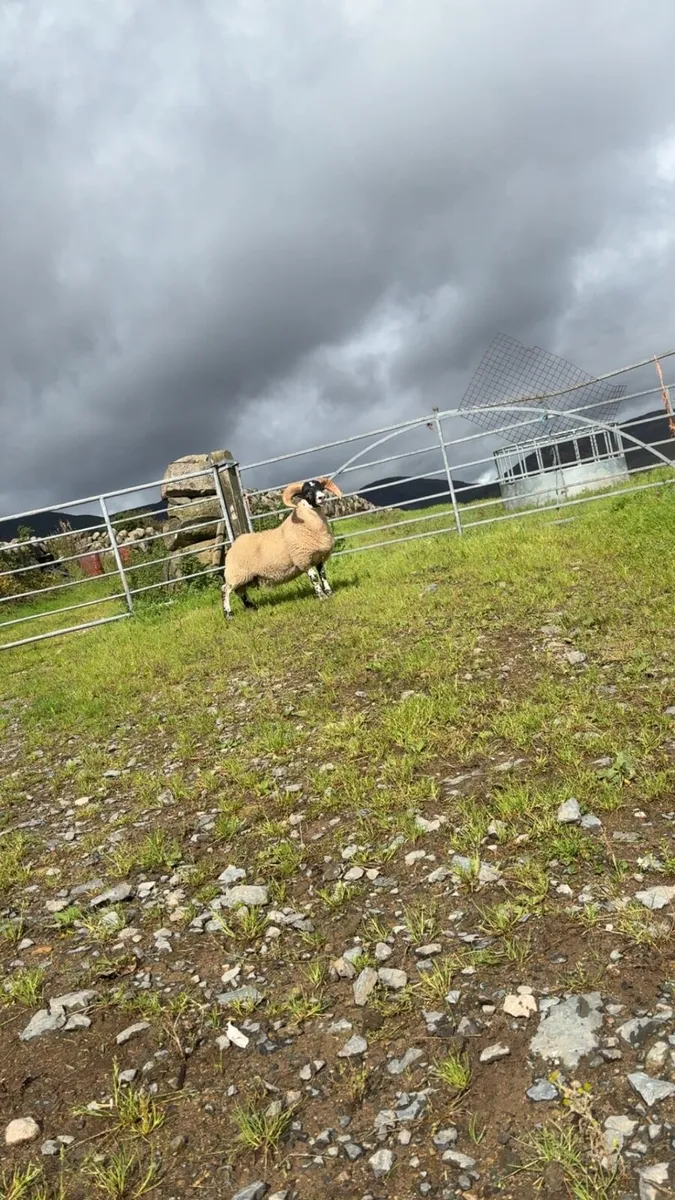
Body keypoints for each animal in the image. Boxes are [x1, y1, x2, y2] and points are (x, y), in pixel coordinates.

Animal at [221, 477, 343, 619]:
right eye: (307, 492)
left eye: (321, 488)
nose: (321, 497)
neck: (306, 524)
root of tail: (233, 545)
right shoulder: (303, 560)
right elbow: (314, 578)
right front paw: (322, 597)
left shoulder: (318, 558)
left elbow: (323, 575)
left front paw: (329, 593)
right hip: (237, 573)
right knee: (225, 590)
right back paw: (228, 615)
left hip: (245, 576)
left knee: (240, 592)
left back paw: (252, 607)